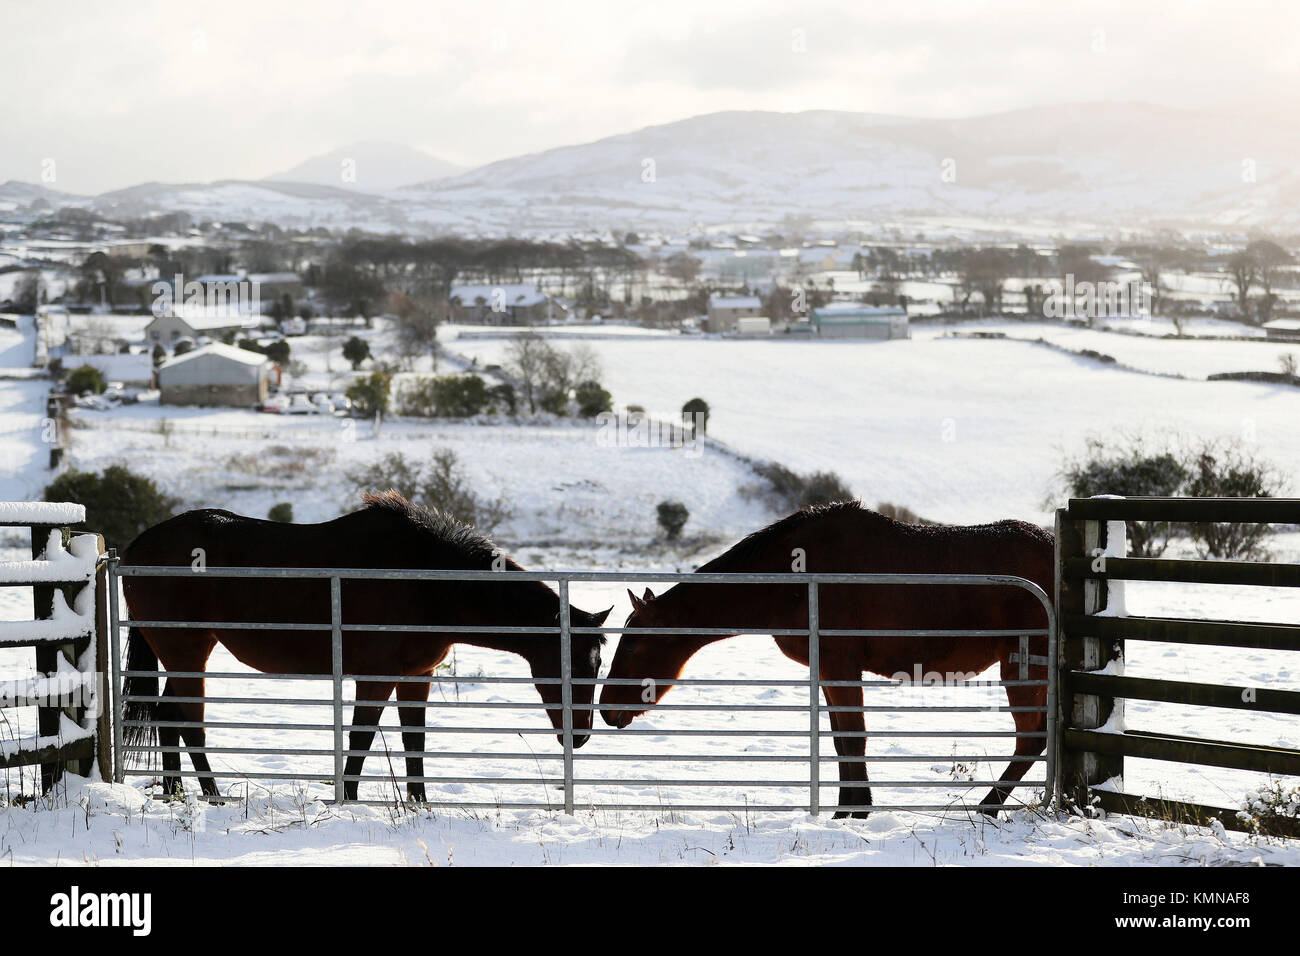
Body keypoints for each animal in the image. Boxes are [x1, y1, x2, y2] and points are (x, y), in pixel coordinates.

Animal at [122, 494, 608, 801]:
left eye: (598, 664)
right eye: (576, 664)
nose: (580, 734)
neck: (428, 581)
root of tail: (136, 548)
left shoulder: (417, 677)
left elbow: (415, 741)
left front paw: (419, 803)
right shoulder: (375, 677)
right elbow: (360, 738)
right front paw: (350, 799)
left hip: (188, 654)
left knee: (170, 716)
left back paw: (178, 793)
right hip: (186, 652)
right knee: (186, 721)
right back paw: (210, 795)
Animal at [598, 502, 1055, 822]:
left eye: (633, 647)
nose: (606, 710)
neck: (793, 578)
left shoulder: (840, 665)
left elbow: (854, 738)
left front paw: (855, 811)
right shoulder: (828, 671)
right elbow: (840, 741)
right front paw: (847, 809)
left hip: (1021, 667)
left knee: (1031, 738)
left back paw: (987, 807)